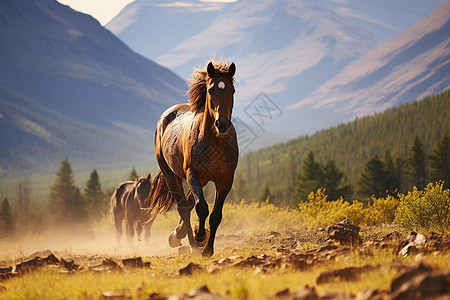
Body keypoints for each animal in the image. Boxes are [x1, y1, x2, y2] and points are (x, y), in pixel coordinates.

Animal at [147, 59, 239, 256]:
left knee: (188, 203)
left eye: (232, 90)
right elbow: (201, 208)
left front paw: (208, 248)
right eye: (210, 90)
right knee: (184, 207)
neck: (215, 142)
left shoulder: (226, 178)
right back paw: (188, 241)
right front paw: (198, 237)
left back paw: (179, 235)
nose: (222, 124)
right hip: (172, 175)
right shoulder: (193, 174)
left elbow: (216, 215)